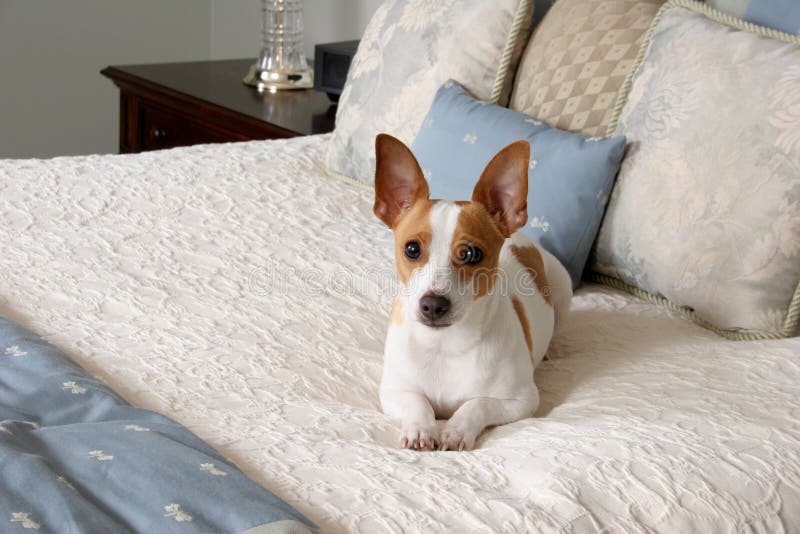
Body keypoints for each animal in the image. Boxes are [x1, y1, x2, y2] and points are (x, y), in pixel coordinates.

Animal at [372, 133, 572, 452]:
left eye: (471, 254)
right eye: (412, 249)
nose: (433, 304)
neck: (444, 345)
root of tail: (522, 236)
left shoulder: (521, 400)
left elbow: (477, 404)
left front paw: (455, 430)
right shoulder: (394, 391)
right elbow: (418, 404)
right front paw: (421, 428)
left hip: (563, 290)